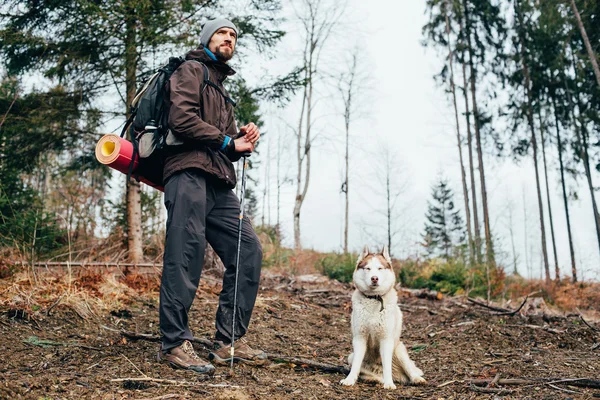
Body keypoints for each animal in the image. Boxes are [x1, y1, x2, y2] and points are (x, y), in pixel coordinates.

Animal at [342, 245, 426, 390]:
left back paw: (416, 379)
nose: (374, 278)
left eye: (380, 268)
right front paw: (350, 380)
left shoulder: (386, 339)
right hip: (350, 357)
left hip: (399, 350)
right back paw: (372, 379)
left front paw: (389, 384)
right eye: (368, 268)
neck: (374, 298)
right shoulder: (360, 338)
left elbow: (387, 365)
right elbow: (356, 365)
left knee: (410, 372)